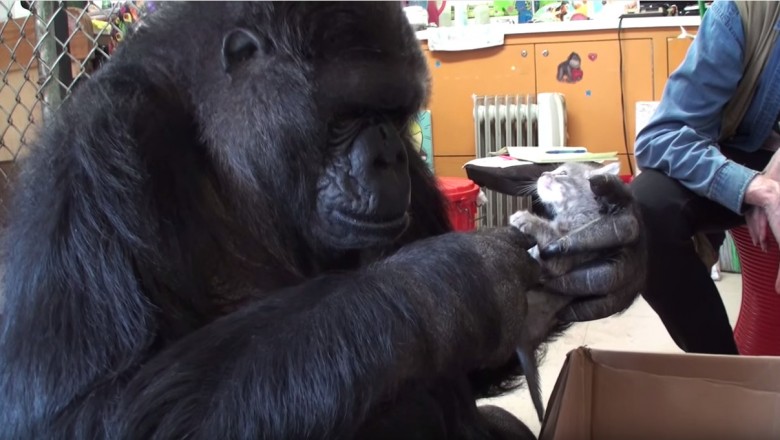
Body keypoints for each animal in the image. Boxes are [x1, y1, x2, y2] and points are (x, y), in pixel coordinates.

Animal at [0, 1, 644, 438]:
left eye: (396, 112)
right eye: (348, 113)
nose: (387, 155)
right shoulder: (100, 152)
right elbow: (88, 415)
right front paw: (448, 284)